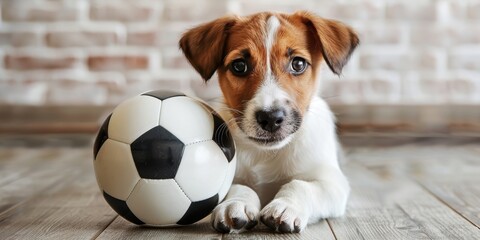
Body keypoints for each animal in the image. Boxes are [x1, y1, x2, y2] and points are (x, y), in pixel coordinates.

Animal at [179, 10, 356, 232]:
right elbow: (237, 186)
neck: (267, 154)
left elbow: (300, 185)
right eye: (239, 66)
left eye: (298, 64)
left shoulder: (332, 182)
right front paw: (235, 203)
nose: (271, 118)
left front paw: (286, 205)